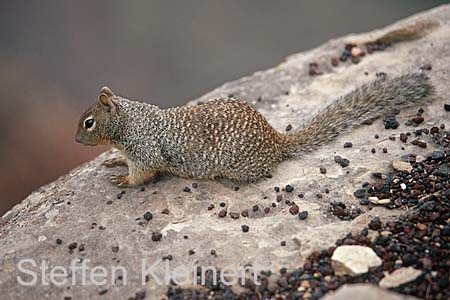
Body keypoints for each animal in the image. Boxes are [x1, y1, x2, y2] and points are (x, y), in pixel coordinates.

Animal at [75, 71, 434, 186]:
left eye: (88, 123)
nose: (76, 139)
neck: (129, 120)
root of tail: (275, 139)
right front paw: (114, 160)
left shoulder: (145, 150)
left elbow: (143, 173)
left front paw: (124, 180)